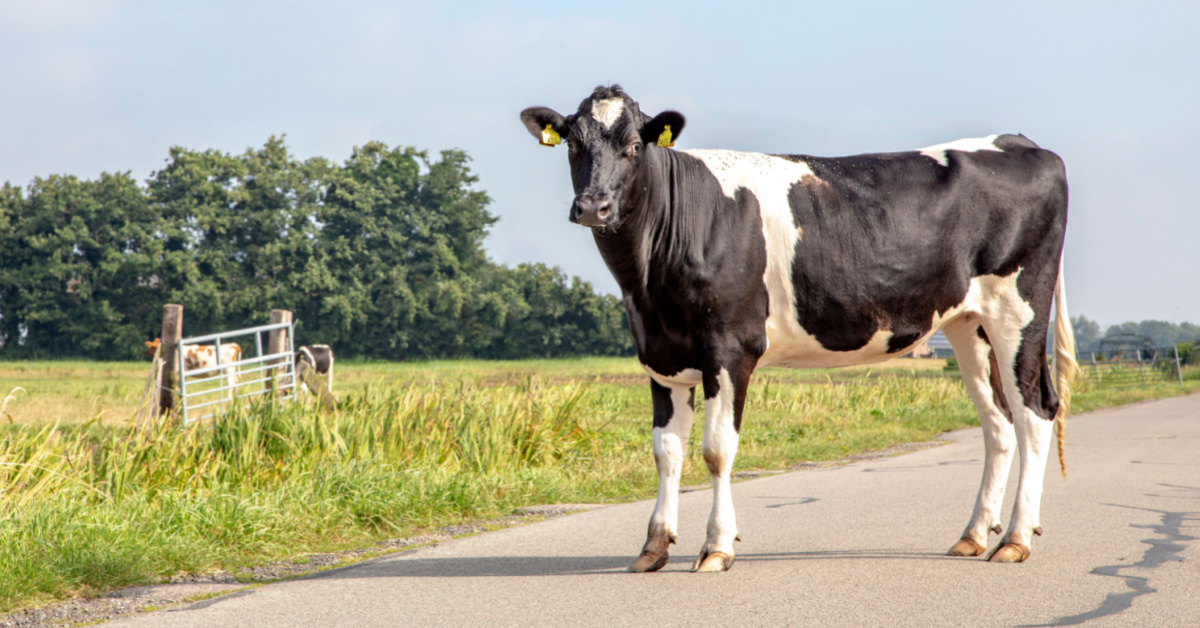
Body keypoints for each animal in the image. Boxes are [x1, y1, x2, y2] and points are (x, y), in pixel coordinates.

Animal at [520, 84, 1084, 573]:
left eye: (635, 146)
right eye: (573, 143)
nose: (594, 207)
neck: (647, 281)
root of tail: (1019, 142)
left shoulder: (730, 349)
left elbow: (716, 450)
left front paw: (717, 546)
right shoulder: (660, 356)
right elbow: (666, 452)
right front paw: (653, 547)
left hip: (1017, 311)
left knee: (1035, 414)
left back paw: (1015, 539)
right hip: (969, 325)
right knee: (998, 424)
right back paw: (973, 535)